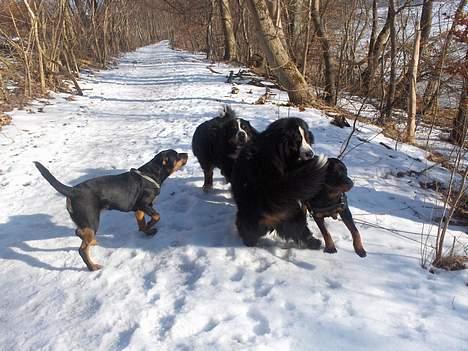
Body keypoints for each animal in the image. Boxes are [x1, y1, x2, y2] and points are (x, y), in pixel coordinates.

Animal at [33, 150, 187, 270]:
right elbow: (157, 216)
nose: (186, 154)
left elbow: (141, 222)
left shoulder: (139, 209)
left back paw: (92, 242)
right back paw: (92, 266)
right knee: (82, 249)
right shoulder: (144, 204)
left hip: (86, 221)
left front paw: (147, 231)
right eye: (177, 156)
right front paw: (150, 226)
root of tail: (72, 191)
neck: (151, 174)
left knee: (79, 232)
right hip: (92, 219)